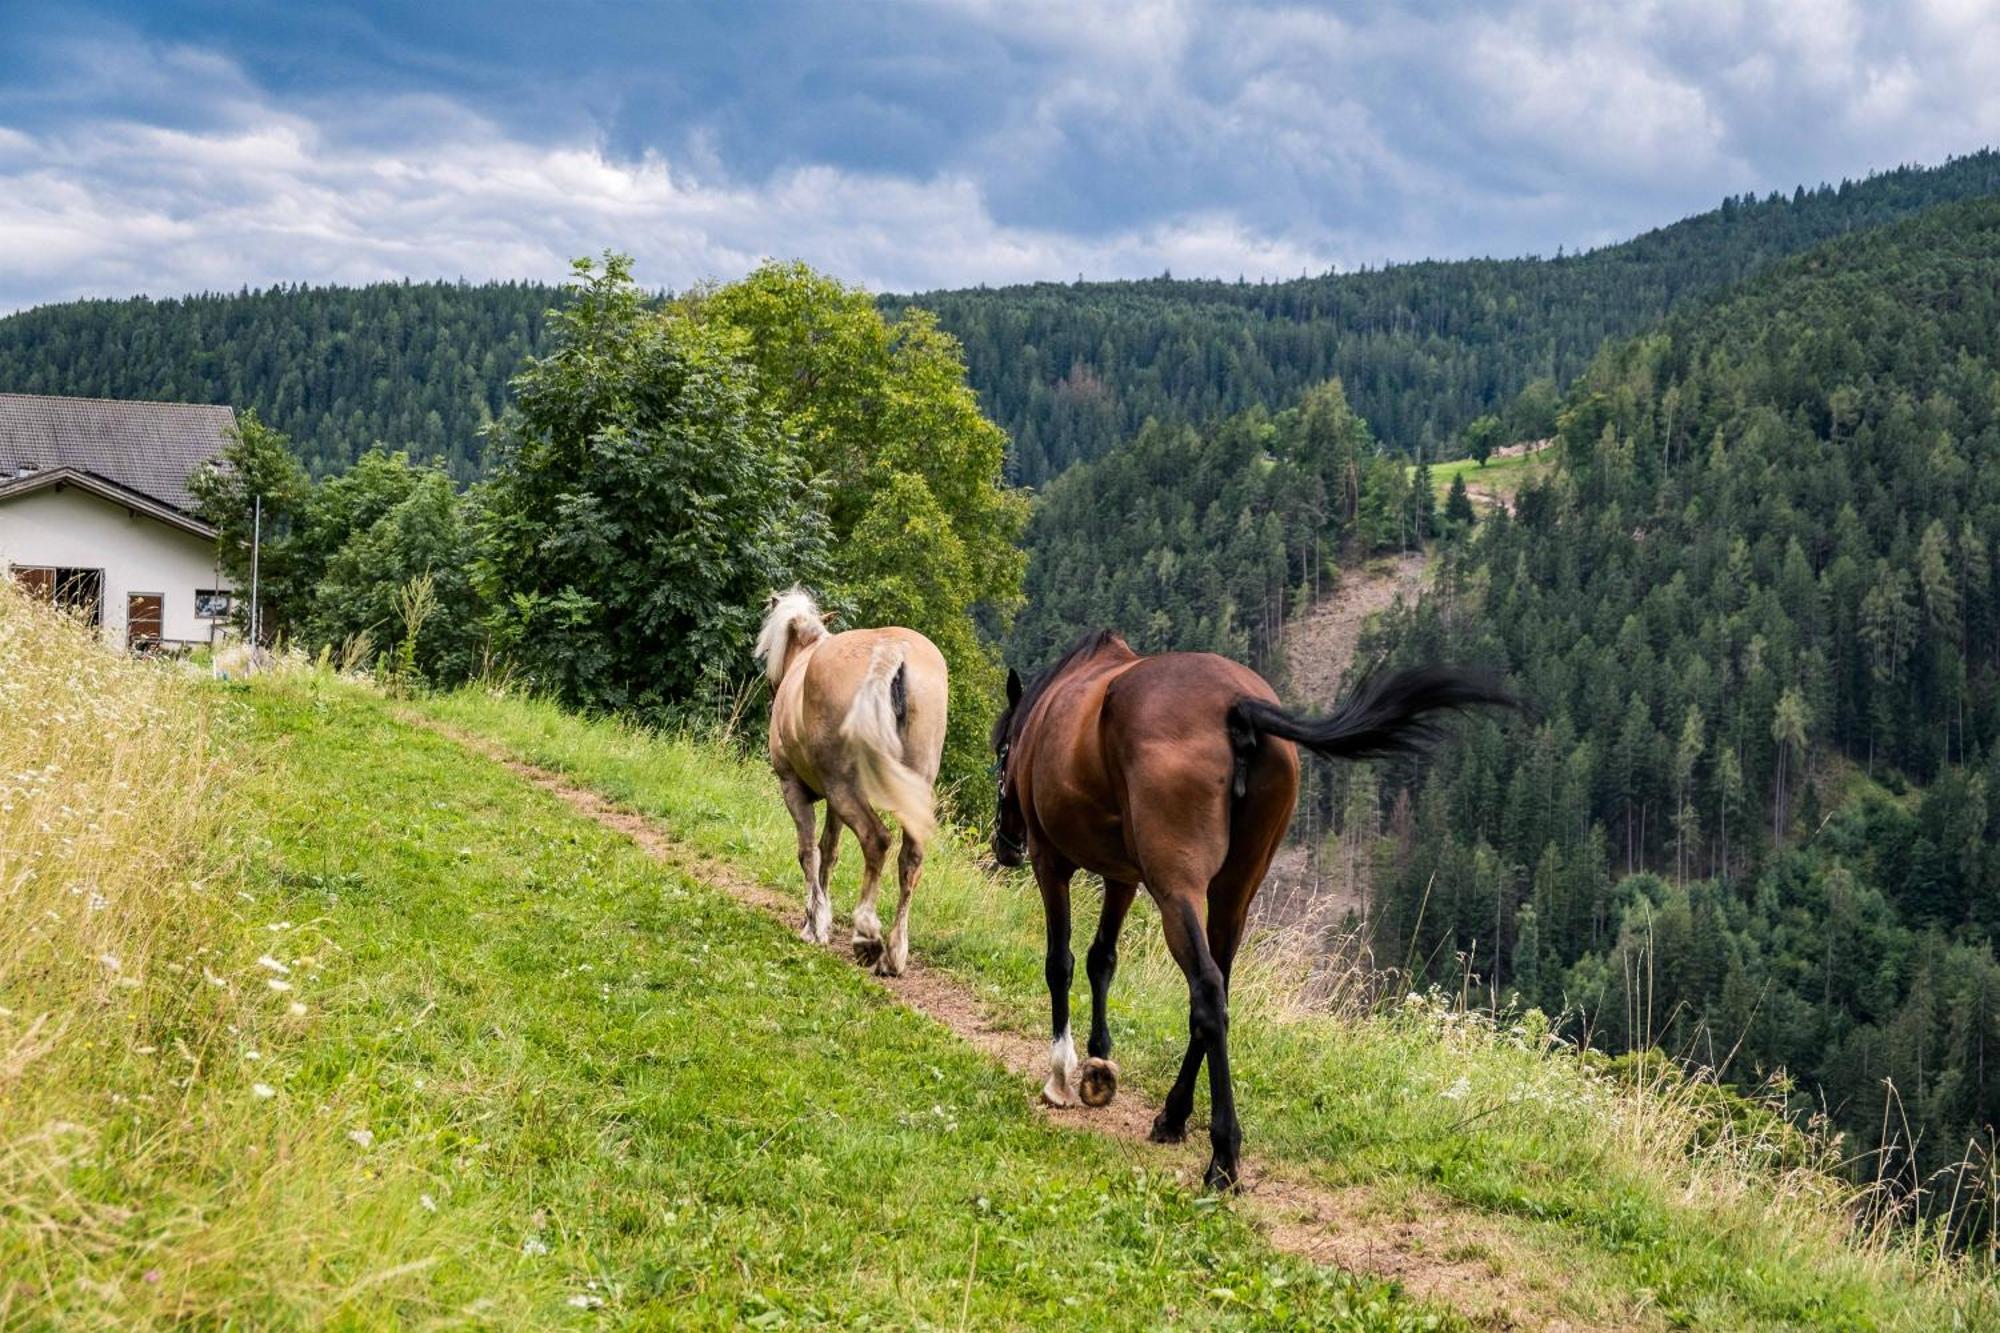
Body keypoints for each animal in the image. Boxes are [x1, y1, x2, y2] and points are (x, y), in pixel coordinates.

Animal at [752, 588, 948, 972]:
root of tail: (890, 653)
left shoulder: (794, 788)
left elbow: (808, 853)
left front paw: (814, 925)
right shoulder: (833, 802)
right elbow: (829, 852)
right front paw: (817, 919)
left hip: (844, 787)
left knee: (876, 840)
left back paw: (866, 936)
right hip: (903, 785)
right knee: (910, 858)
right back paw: (895, 952)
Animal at [992, 632, 1504, 1184]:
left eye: (1000, 751)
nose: (1006, 846)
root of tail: (1237, 707)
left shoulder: (1051, 861)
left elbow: (1060, 963)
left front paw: (1062, 1076)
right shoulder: (1122, 877)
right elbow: (1101, 960)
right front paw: (1098, 1066)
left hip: (1177, 887)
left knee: (1207, 989)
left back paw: (1222, 1154)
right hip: (1235, 891)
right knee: (1218, 987)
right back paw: (1175, 1116)